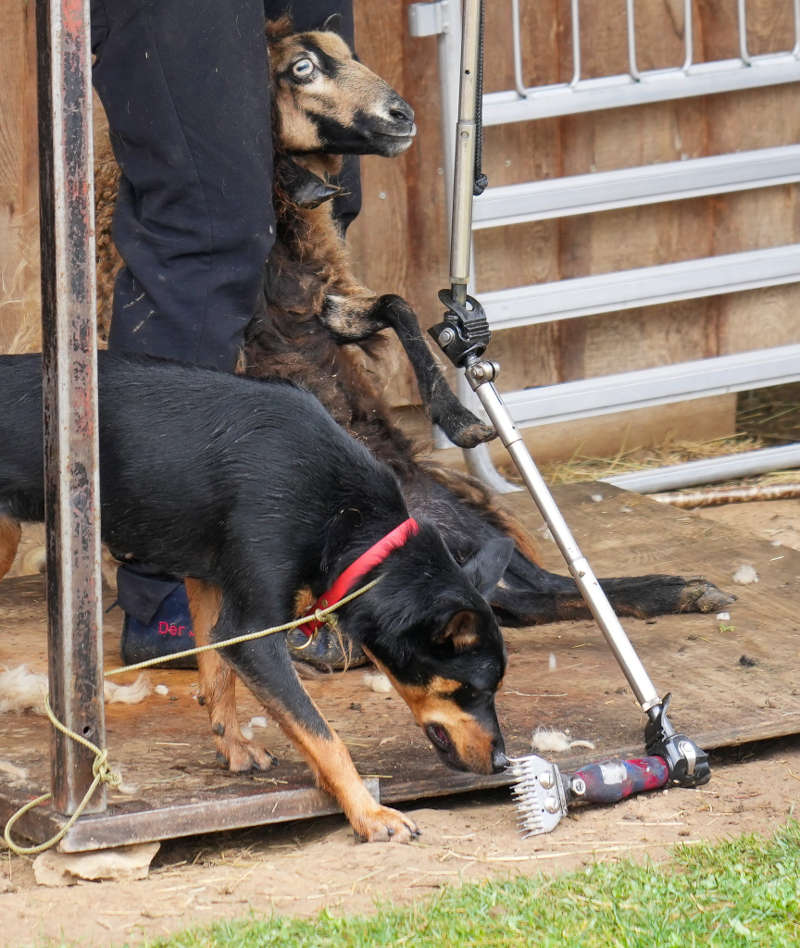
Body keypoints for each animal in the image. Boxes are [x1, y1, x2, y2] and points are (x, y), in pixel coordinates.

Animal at [1, 352, 512, 840]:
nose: (503, 763)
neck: (351, 521)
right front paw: (368, 813)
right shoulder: (255, 634)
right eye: (468, 690)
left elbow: (217, 675)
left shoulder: (214, 589)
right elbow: (323, 735)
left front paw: (233, 746)